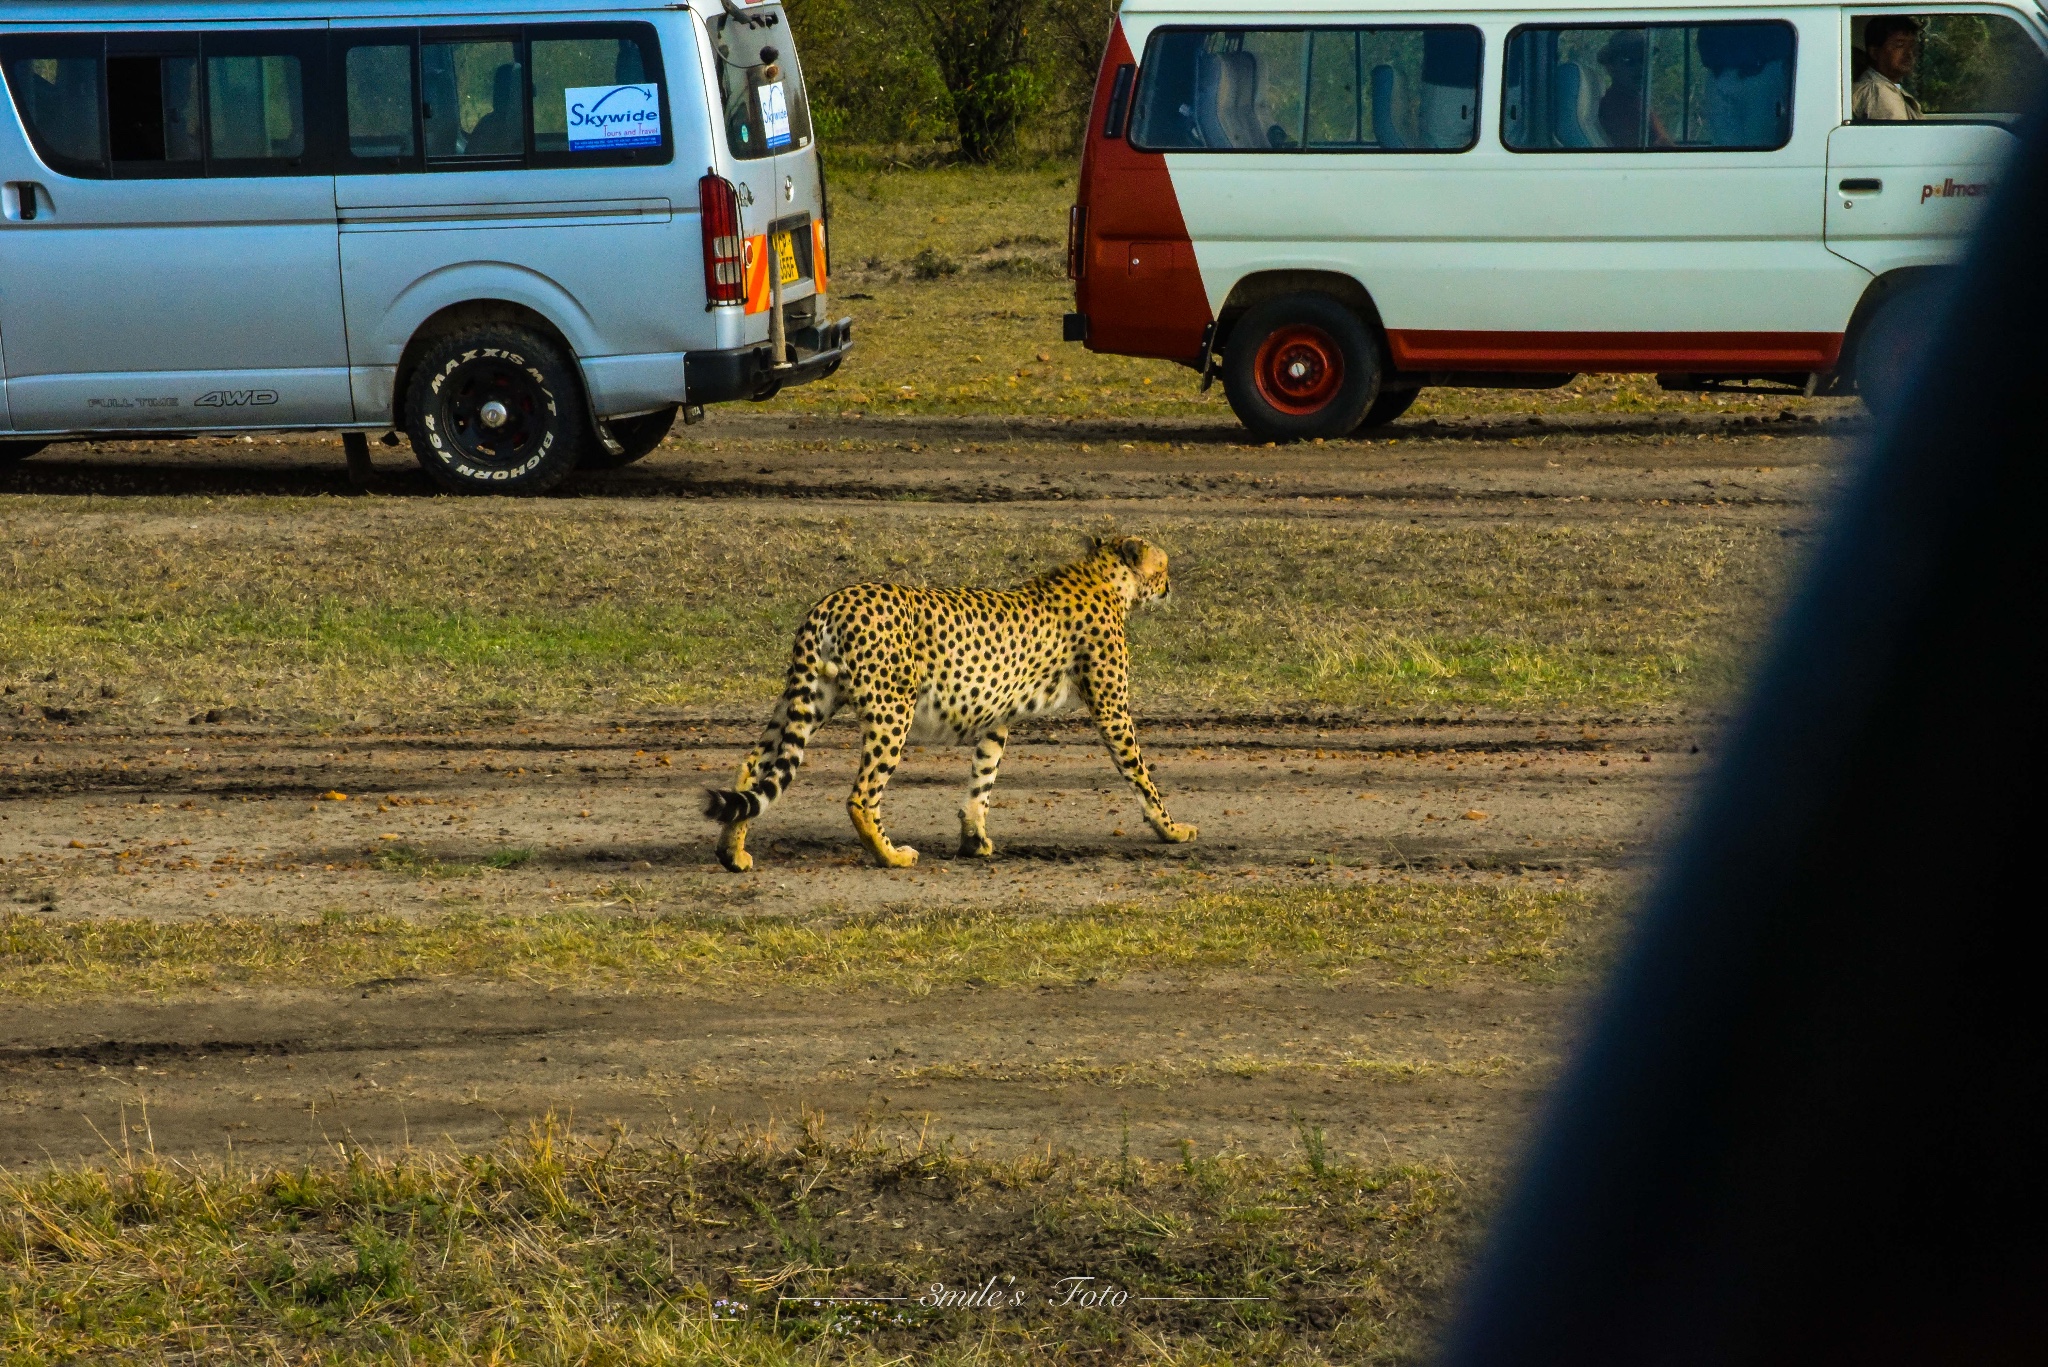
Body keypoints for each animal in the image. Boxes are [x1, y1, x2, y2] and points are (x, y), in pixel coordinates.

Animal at [700, 536, 1196, 873]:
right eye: (1164, 565)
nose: (1172, 584)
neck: (1105, 577)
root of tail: (833, 600)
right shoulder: (1113, 711)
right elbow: (1142, 776)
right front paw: (1171, 829)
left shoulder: (998, 716)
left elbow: (983, 778)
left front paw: (974, 840)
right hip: (891, 710)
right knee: (861, 795)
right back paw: (892, 856)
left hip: (809, 699)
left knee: (754, 766)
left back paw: (733, 852)